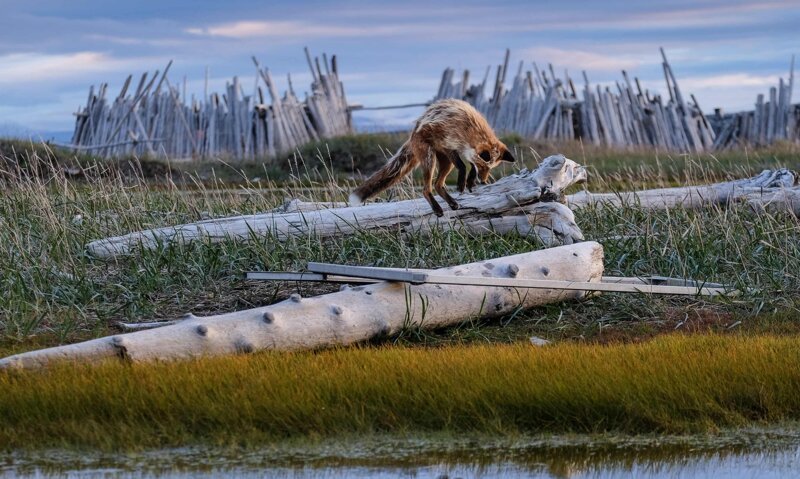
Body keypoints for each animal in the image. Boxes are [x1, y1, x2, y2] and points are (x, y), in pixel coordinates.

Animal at [348, 100, 512, 217]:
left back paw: (452, 203)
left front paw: (470, 181)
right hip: (430, 160)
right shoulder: (449, 145)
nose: (484, 180)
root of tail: (412, 134)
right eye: (485, 167)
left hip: (445, 163)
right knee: (427, 189)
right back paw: (437, 209)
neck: (469, 130)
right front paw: (462, 183)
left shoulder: (463, 151)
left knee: (438, 185)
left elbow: (470, 165)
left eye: (490, 169)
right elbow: (463, 166)